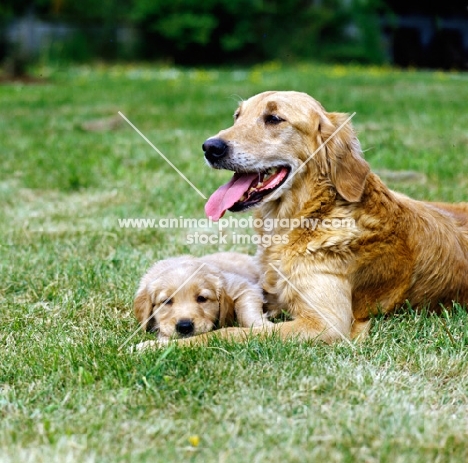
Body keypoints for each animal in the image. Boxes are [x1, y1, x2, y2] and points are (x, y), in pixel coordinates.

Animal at [133, 252, 272, 346]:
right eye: (167, 301)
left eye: (202, 298)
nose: (184, 327)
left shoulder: (242, 286)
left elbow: (247, 311)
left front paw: (263, 326)